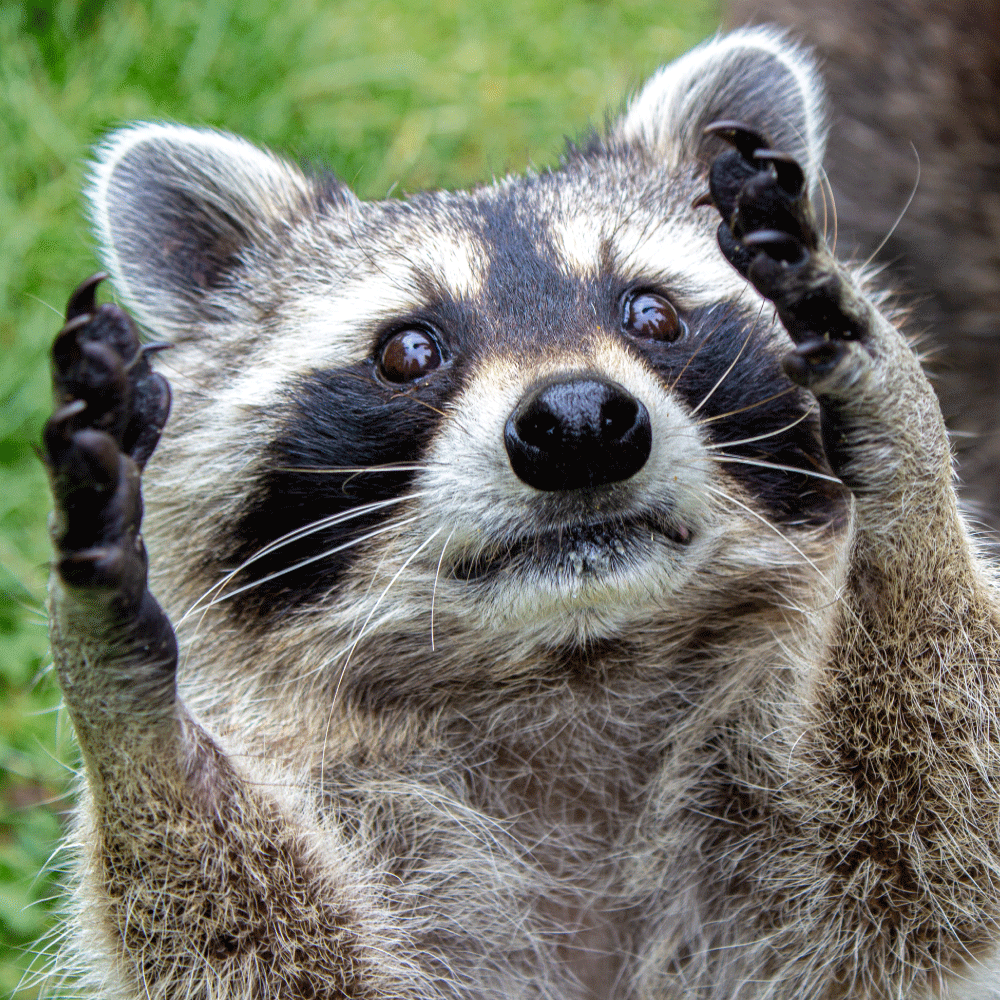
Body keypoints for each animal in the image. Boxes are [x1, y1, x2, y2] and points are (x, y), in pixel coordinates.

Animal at [43, 23, 1000, 1000]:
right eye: (408, 350)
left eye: (653, 313)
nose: (578, 423)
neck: (572, 665)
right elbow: (261, 952)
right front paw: (134, 711)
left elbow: (926, 840)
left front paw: (902, 470)